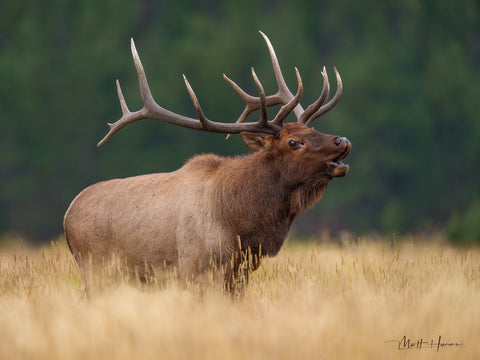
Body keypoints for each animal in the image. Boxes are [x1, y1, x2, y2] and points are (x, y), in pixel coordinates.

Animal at [63, 32, 350, 292]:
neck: (242, 225)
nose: (343, 140)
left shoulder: (240, 273)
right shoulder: (196, 267)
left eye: (314, 130)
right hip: (96, 268)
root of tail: (67, 216)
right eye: (294, 142)